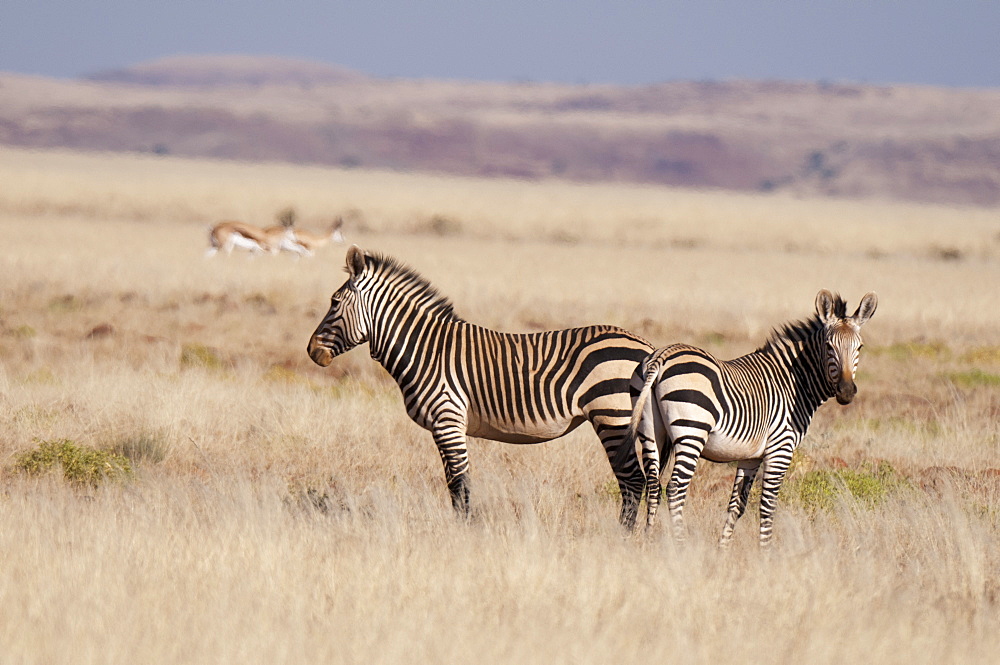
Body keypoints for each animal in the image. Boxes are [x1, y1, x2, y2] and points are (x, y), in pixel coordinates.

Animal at [308, 244, 652, 524]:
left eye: (334, 302)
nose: (312, 352)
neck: (425, 348)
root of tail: (647, 346)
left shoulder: (447, 419)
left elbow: (459, 483)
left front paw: (463, 532)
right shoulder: (446, 426)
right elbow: (454, 482)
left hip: (613, 417)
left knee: (633, 480)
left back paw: (624, 535)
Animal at [616, 290, 876, 544]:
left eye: (860, 347)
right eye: (829, 346)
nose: (846, 391)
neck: (795, 382)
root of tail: (661, 355)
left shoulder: (750, 456)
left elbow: (736, 505)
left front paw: (723, 549)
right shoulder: (780, 448)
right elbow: (767, 506)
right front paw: (766, 551)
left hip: (651, 432)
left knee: (653, 486)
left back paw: (649, 541)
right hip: (691, 432)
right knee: (675, 488)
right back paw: (681, 544)